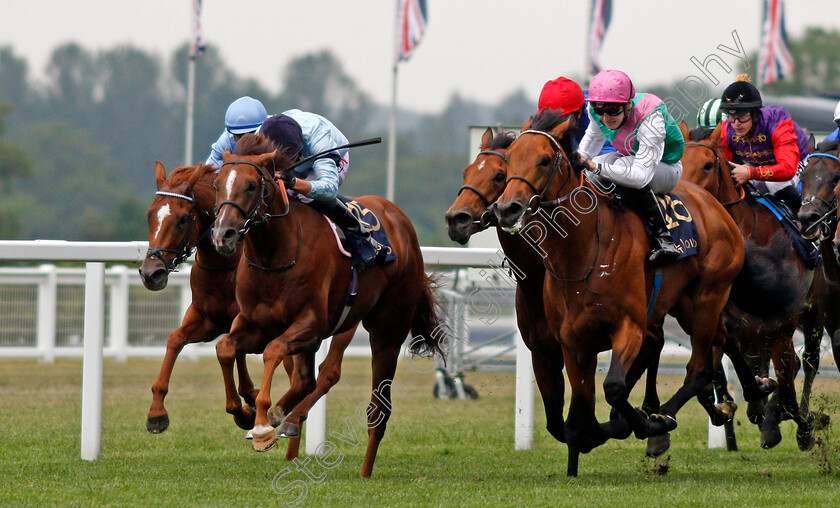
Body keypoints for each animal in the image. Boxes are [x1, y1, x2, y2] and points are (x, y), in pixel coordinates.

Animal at [139, 161, 356, 462]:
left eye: (183, 219)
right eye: (150, 215)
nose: (151, 273)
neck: (224, 264)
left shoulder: (248, 320)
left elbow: (237, 358)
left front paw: (248, 406)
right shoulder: (208, 318)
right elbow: (175, 340)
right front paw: (157, 413)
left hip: (343, 323)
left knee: (326, 373)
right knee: (302, 376)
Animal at [208, 134, 442, 476]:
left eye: (251, 185)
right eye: (217, 184)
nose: (223, 235)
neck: (275, 256)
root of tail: (402, 222)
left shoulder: (312, 326)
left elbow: (273, 352)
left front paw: (263, 424)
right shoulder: (256, 323)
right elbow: (225, 347)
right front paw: (243, 413)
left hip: (387, 329)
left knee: (375, 406)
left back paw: (364, 470)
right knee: (309, 379)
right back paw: (288, 419)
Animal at [442, 127, 568, 440]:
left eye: (500, 175)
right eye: (466, 171)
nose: (455, 219)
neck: (537, 275)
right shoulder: (542, 350)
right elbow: (557, 423)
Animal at [492, 110, 756, 476]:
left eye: (544, 160)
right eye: (507, 163)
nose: (507, 209)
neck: (582, 254)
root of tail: (715, 206)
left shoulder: (630, 326)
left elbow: (613, 388)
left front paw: (645, 423)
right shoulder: (571, 343)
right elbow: (581, 407)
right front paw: (579, 452)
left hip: (708, 297)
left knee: (700, 367)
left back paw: (671, 415)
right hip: (685, 305)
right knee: (722, 338)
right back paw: (733, 403)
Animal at [684, 123, 820, 448]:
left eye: (708, 165)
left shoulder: (781, 327)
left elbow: (788, 392)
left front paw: (805, 428)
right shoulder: (726, 317)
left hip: (814, 316)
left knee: (808, 363)